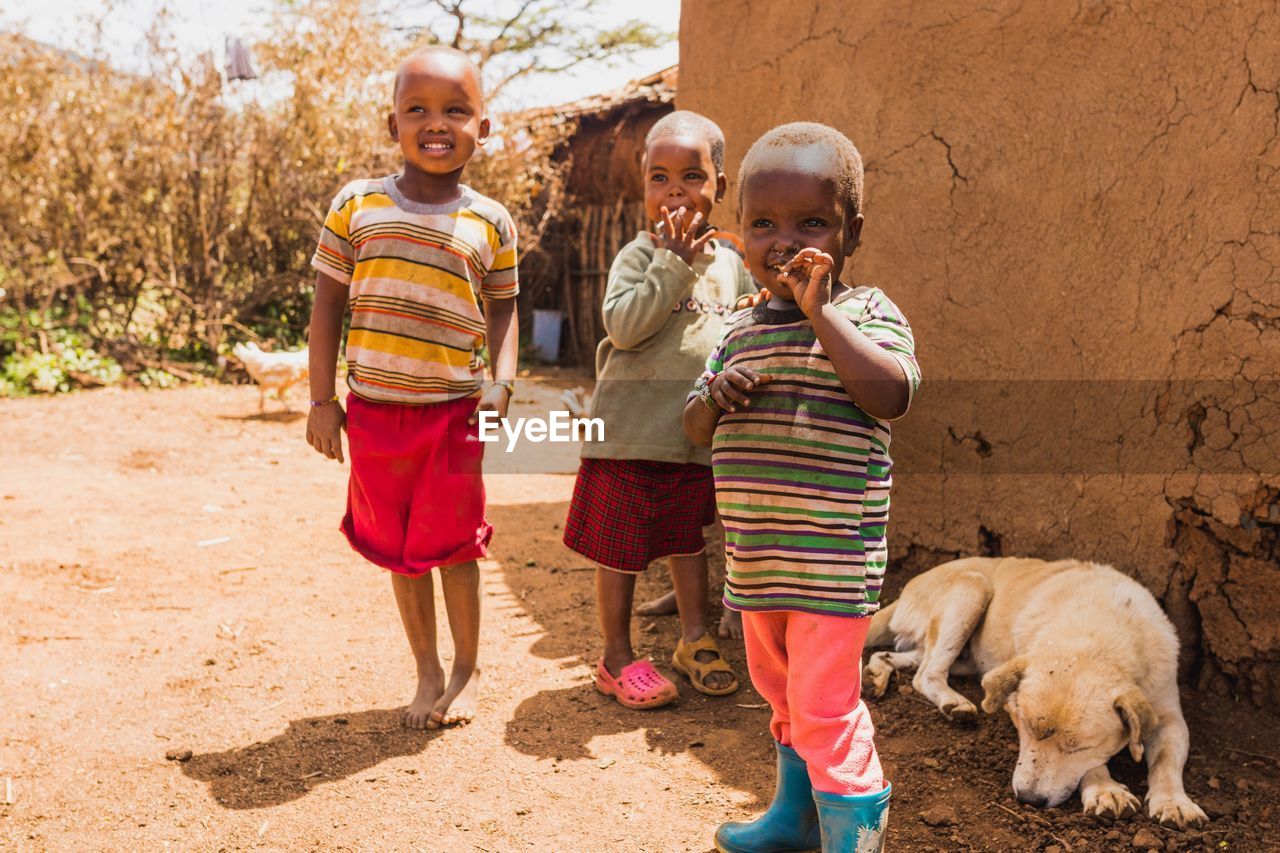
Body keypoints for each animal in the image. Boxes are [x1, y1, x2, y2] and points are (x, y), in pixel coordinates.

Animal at [860, 555, 1208, 824]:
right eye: (1025, 727)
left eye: (1079, 746)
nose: (1029, 799)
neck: (1099, 637)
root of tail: (907, 589)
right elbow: (1094, 766)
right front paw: (1105, 788)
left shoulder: (1169, 717)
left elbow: (1166, 761)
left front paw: (1173, 801)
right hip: (972, 590)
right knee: (927, 674)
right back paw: (953, 703)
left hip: (963, 657)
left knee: (903, 659)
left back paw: (878, 673)